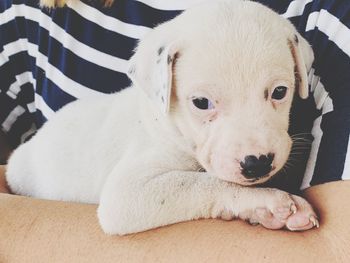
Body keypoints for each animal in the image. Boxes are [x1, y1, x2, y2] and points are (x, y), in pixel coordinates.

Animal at [5, 0, 318, 235]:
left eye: (280, 91)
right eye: (201, 103)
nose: (257, 163)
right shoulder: (126, 194)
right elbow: (202, 182)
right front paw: (269, 200)